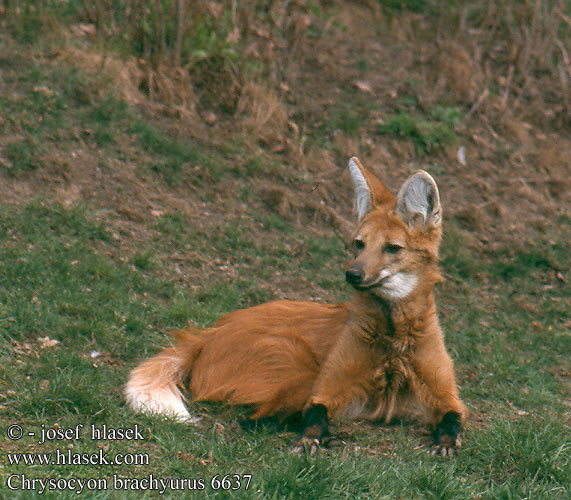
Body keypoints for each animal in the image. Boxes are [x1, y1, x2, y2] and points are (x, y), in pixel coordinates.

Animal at [128, 157, 470, 458]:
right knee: (253, 420)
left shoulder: (445, 394)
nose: (353, 274)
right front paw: (311, 438)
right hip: (301, 370)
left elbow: (453, 416)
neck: (393, 332)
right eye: (359, 244)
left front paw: (446, 443)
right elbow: (315, 411)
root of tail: (205, 335)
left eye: (392, 249)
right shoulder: (325, 386)